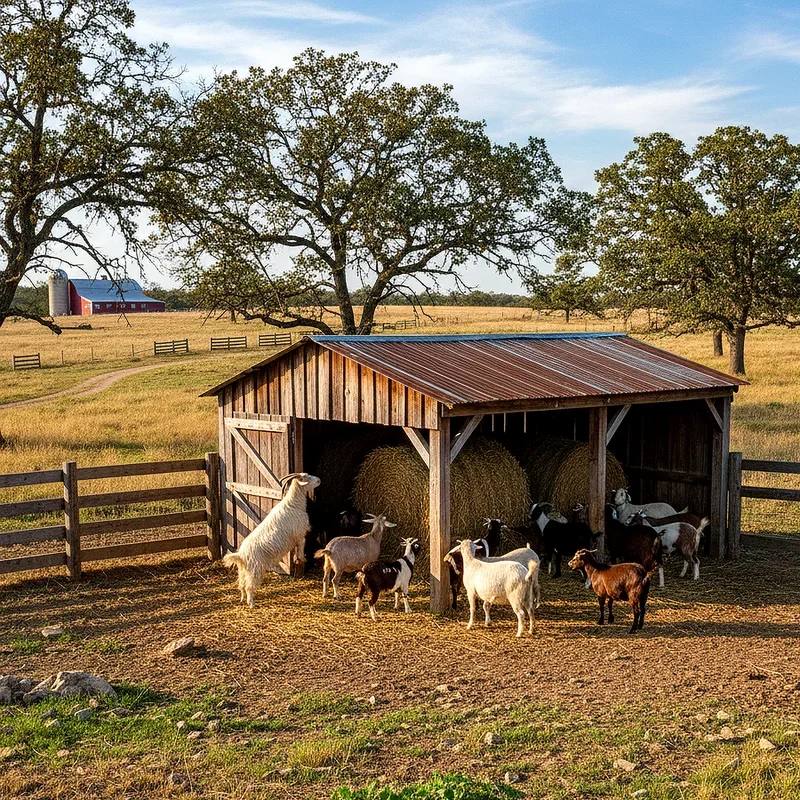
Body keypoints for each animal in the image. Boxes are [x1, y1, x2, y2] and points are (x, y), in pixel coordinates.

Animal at [222, 473, 321, 608]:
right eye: (306, 477)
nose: (319, 480)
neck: (293, 504)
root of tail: (241, 555)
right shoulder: (299, 534)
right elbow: (301, 545)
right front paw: (303, 558)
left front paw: (297, 559)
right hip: (255, 569)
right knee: (249, 586)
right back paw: (251, 603)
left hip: (243, 571)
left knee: (241, 584)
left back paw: (242, 599)